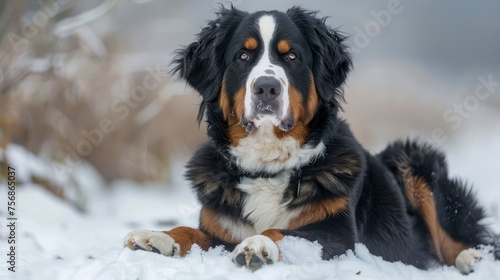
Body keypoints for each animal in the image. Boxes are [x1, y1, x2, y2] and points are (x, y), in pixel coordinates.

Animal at [123, 6, 498, 274]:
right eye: (243, 56)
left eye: (291, 56)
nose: (266, 88)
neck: (268, 165)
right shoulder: (219, 228)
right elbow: (191, 230)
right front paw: (156, 237)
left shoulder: (336, 235)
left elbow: (280, 231)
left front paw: (257, 246)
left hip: (413, 159)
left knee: (455, 240)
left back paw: (471, 260)